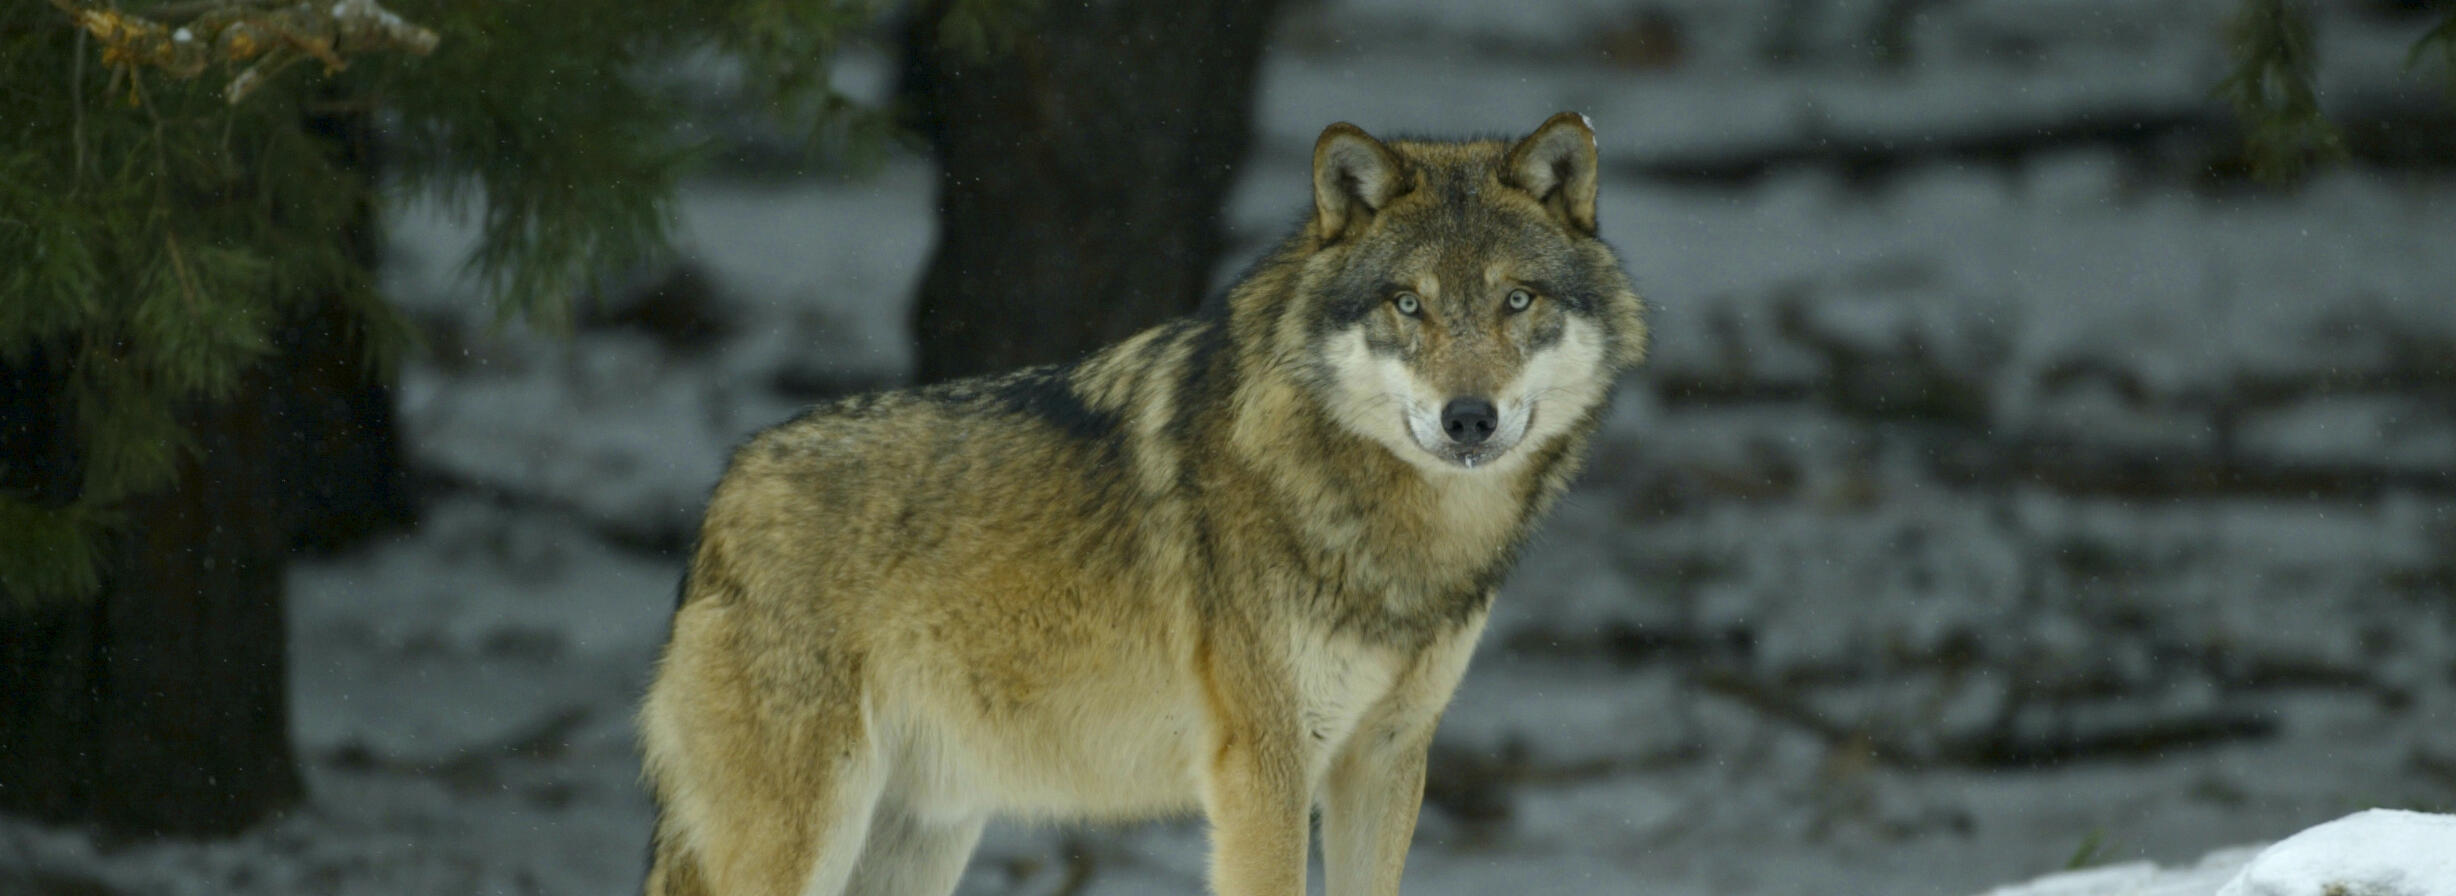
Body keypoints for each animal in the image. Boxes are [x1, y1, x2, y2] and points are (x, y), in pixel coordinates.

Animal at [638, 112, 1647, 896]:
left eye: (1517, 300)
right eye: (1408, 304)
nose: (1468, 418)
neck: (1398, 535)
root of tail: (724, 493)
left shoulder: (1388, 757)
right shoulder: (1264, 769)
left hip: (919, 838)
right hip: (804, 841)